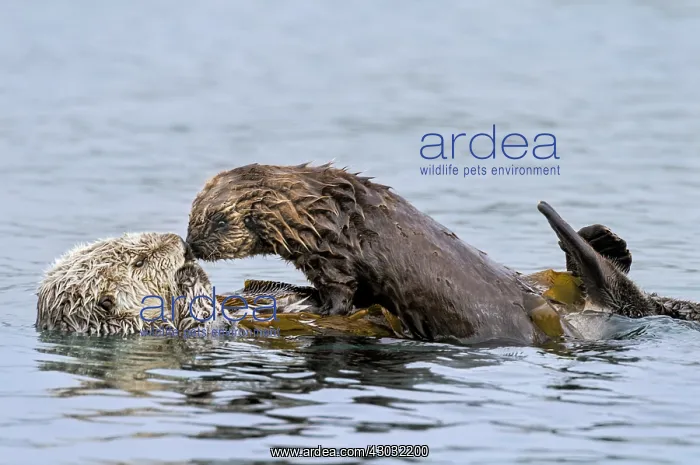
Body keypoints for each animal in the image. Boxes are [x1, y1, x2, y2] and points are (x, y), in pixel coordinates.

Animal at [185, 162, 581, 345]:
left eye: (218, 221)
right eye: (191, 218)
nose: (191, 245)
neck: (309, 209)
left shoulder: (331, 256)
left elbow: (340, 293)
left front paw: (314, 307)